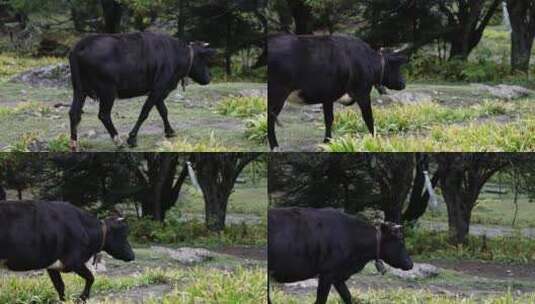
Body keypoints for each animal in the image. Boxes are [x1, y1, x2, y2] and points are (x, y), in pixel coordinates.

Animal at [0, 201, 135, 300]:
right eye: (123, 235)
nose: (132, 255)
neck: (84, 227)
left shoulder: (53, 266)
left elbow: (60, 287)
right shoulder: (74, 261)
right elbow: (91, 278)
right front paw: (82, 297)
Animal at [68, 32, 216, 151]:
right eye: (204, 59)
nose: (209, 77)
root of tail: (82, 44)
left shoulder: (158, 90)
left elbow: (163, 111)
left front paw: (170, 132)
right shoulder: (159, 87)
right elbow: (145, 112)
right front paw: (132, 139)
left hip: (79, 89)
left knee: (74, 113)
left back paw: (74, 144)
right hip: (107, 90)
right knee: (103, 115)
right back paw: (118, 141)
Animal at [268, 35, 410, 150]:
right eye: (396, 67)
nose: (403, 83)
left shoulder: (328, 97)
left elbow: (329, 119)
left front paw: (327, 142)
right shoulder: (362, 92)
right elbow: (368, 117)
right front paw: (375, 141)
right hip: (278, 93)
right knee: (270, 118)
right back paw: (274, 146)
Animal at [268, 208, 414, 302]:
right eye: (401, 241)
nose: (410, 264)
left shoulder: (338, 276)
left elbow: (348, 297)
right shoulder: (327, 273)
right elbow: (321, 300)